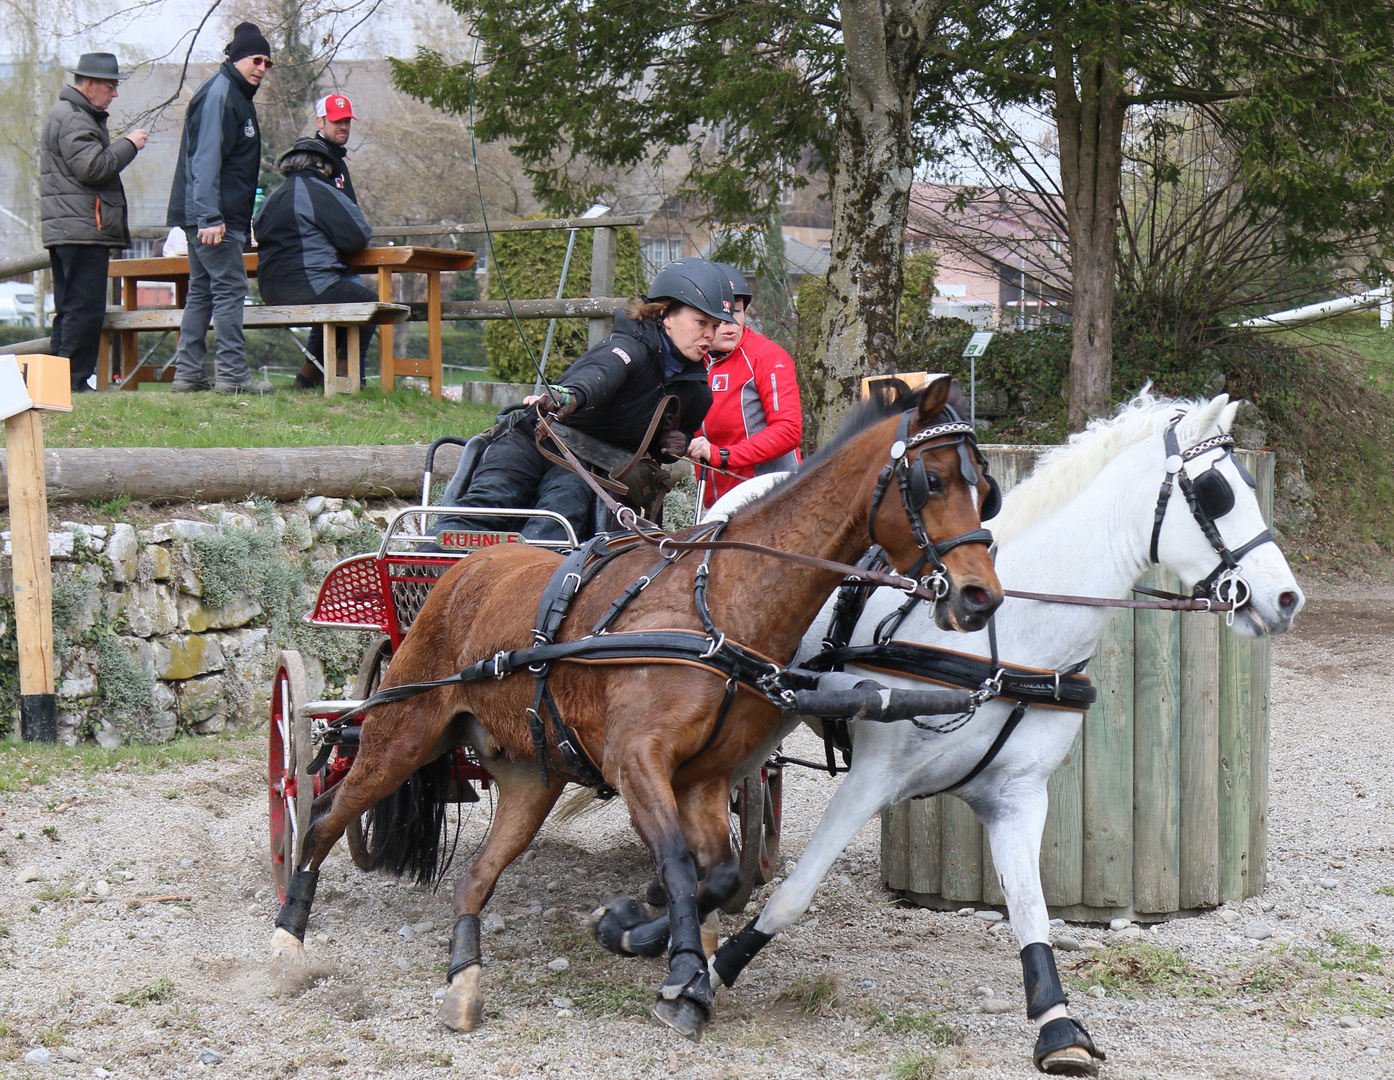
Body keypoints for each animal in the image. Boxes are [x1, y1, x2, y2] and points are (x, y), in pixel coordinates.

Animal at [266, 379, 998, 1036]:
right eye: (932, 481)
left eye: (982, 485)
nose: (979, 595)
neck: (717, 602)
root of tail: (465, 565)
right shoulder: (635, 761)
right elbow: (676, 861)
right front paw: (681, 975)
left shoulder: (704, 779)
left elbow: (715, 874)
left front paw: (631, 930)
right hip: (400, 733)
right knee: (325, 815)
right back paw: (288, 938)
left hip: (529, 775)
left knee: (474, 878)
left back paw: (463, 979)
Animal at [708, 392, 1304, 1075]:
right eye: (1215, 493)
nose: (1288, 598)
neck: (1008, 638)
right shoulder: (870, 781)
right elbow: (793, 895)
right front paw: (711, 970)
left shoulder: (1016, 796)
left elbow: (1030, 912)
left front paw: (1058, 1024)